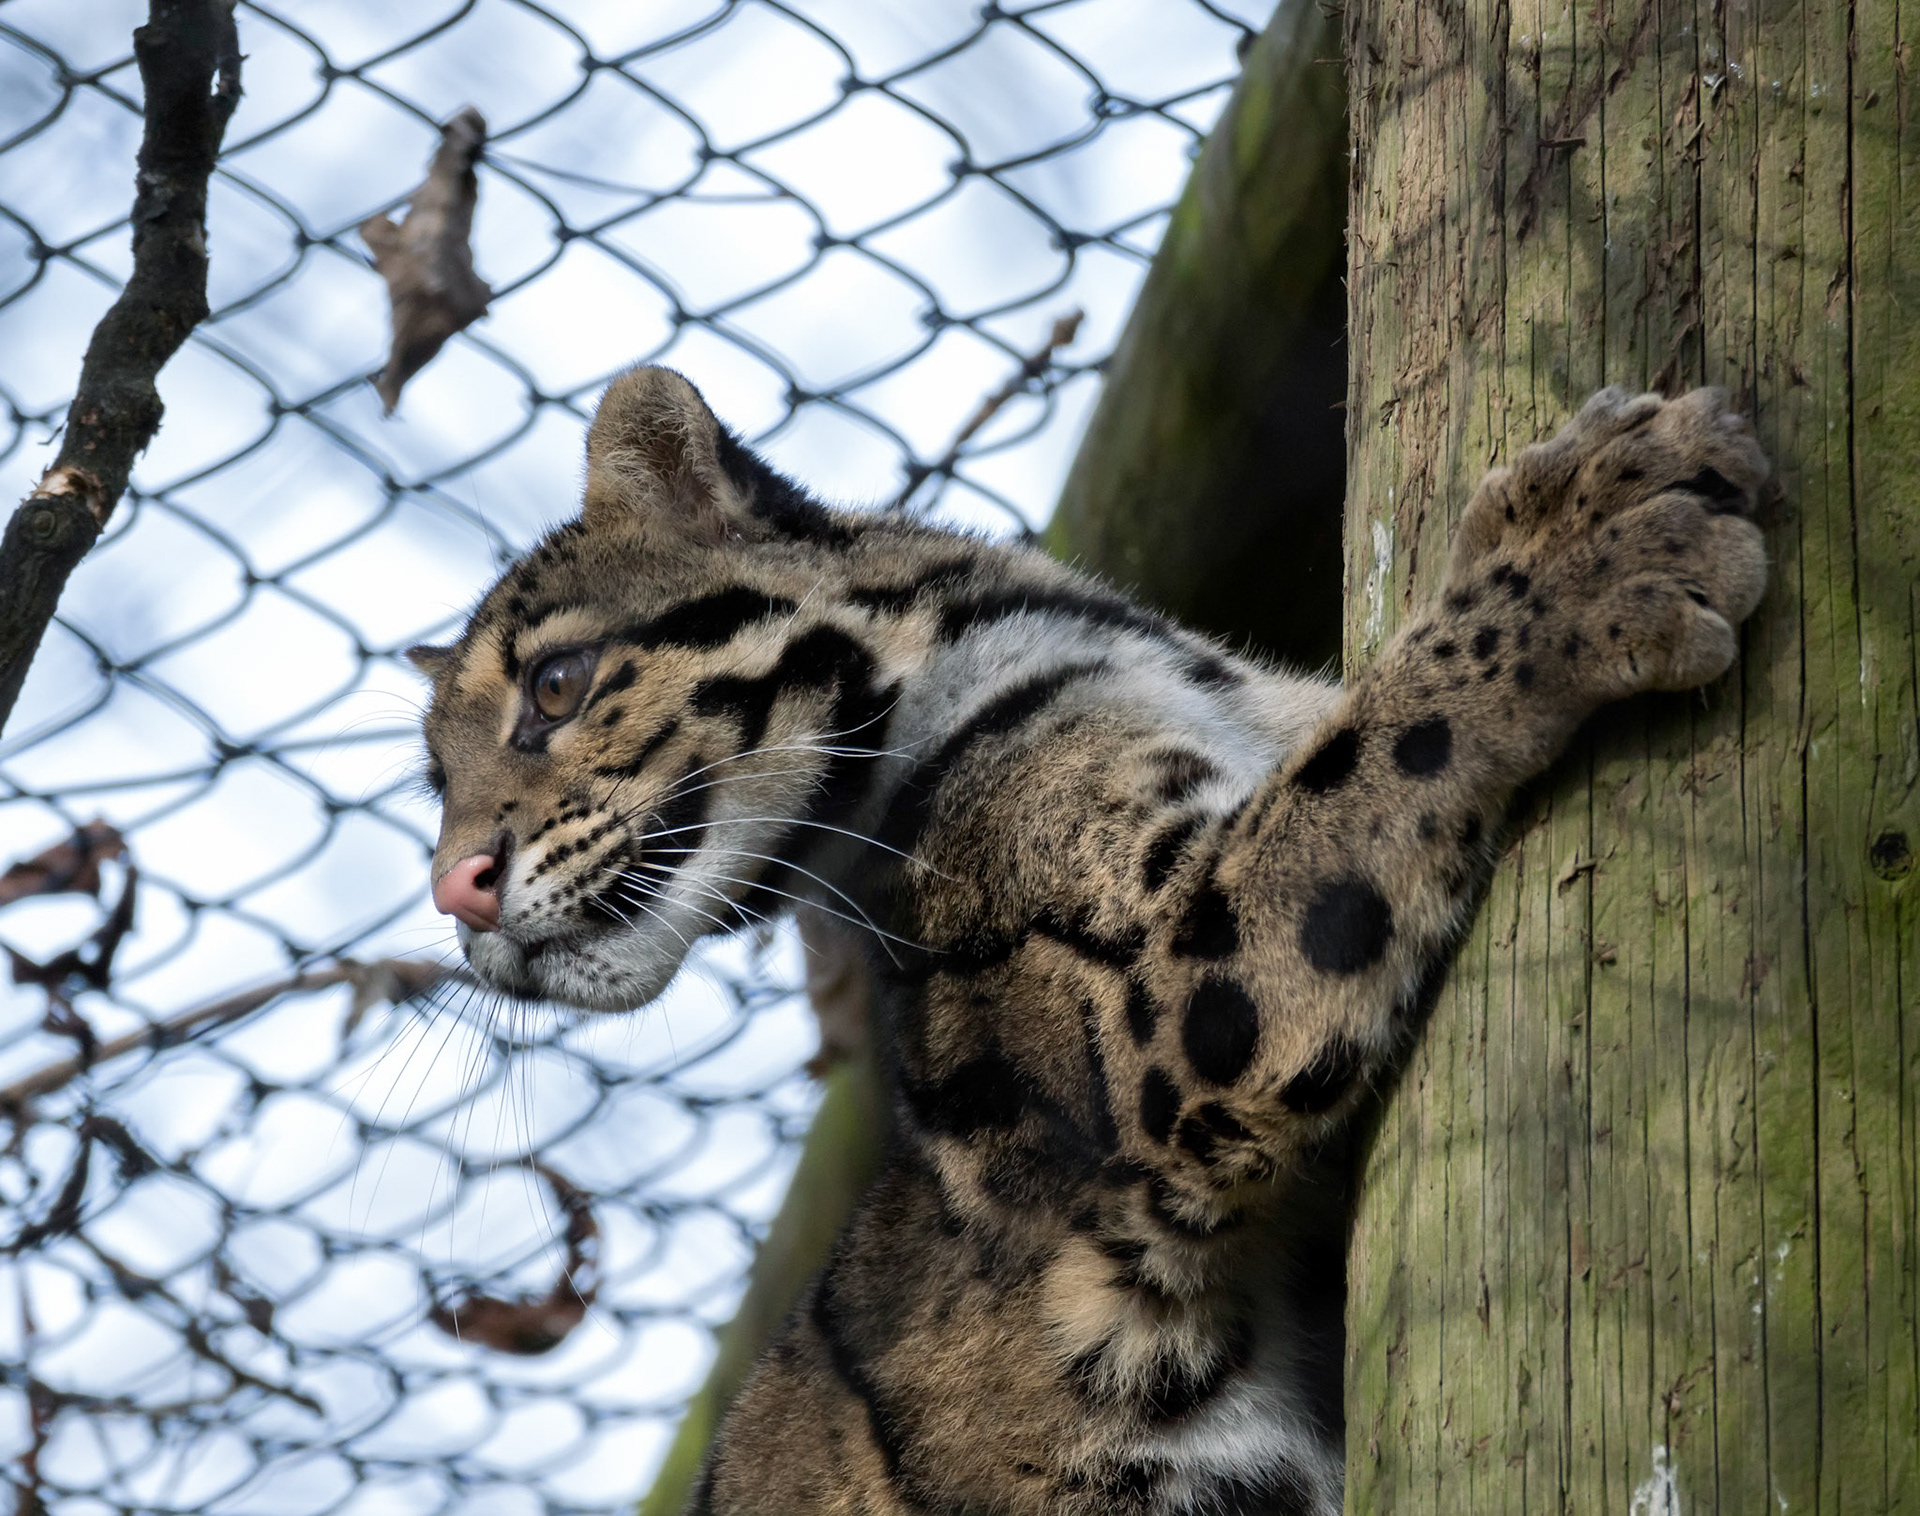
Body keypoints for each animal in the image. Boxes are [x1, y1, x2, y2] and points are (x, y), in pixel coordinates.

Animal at [411, 365, 1769, 1515]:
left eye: (556, 686)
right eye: (437, 782)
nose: (455, 891)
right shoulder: (1167, 1005)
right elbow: (1369, 760)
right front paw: (1591, 548)